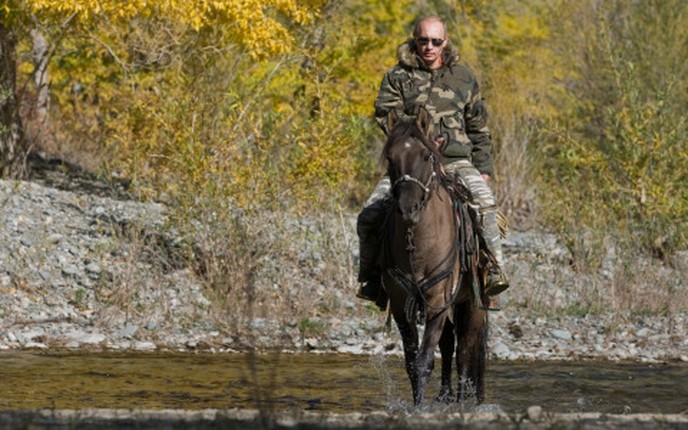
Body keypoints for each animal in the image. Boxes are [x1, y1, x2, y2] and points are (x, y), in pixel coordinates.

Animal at [382, 108, 490, 406]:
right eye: (390, 157)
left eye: (426, 155)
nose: (409, 208)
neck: (418, 245)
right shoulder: (401, 305)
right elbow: (412, 362)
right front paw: (418, 405)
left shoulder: (438, 302)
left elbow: (425, 360)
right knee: (451, 342)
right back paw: (445, 397)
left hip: (472, 303)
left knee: (466, 348)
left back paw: (464, 400)